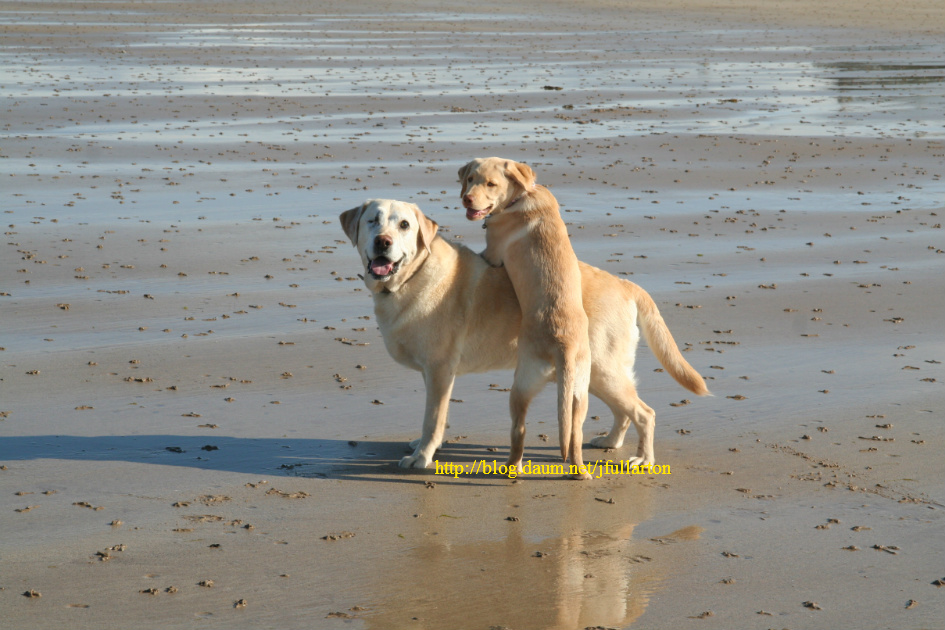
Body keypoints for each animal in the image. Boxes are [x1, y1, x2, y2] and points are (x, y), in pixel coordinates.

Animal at [340, 201, 708, 474]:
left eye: (404, 225)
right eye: (373, 221)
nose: (383, 242)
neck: (411, 276)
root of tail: (625, 284)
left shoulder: (440, 371)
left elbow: (433, 419)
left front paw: (422, 456)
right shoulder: (434, 374)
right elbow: (433, 419)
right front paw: (422, 447)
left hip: (602, 370)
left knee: (645, 412)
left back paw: (644, 458)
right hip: (591, 374)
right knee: (625, 411)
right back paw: (611, 441)